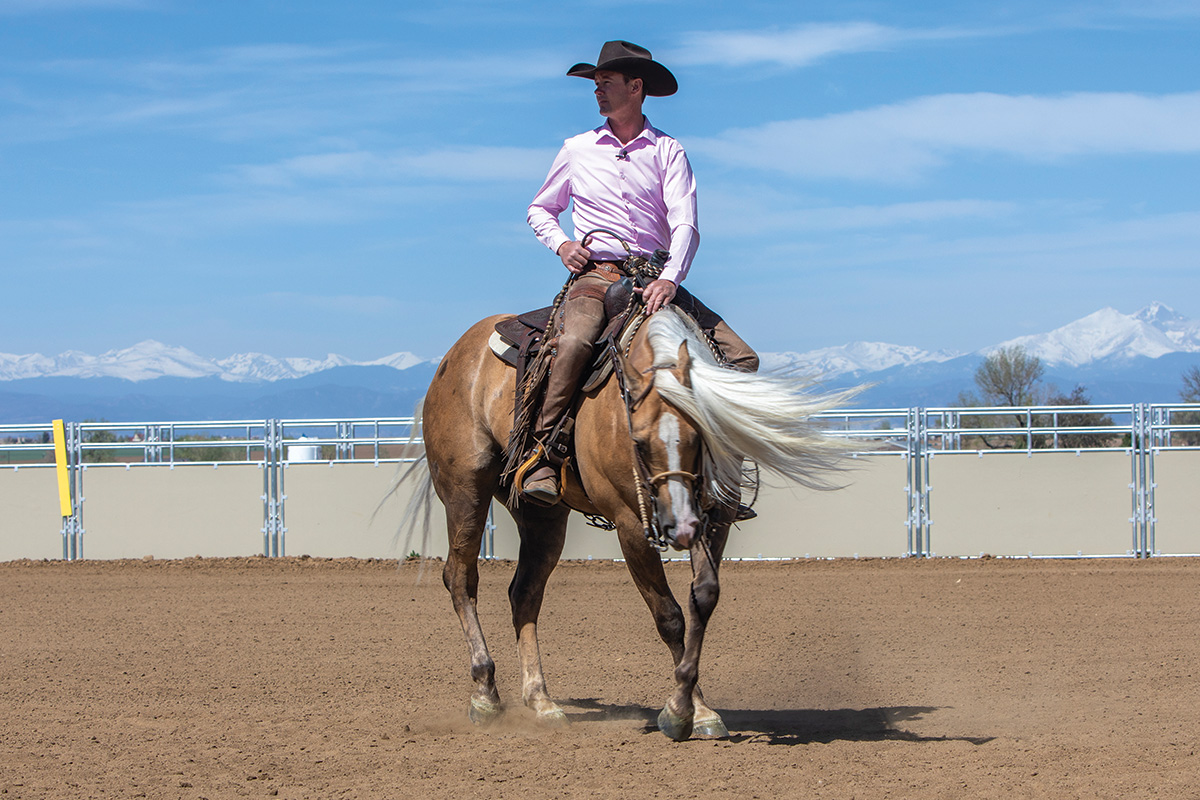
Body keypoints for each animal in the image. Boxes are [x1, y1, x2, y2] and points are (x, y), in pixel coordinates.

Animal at [403, 303, 854, 743]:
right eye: (638, 440)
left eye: (700, 436)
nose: (678, 528)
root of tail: (456, 355)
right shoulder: (631, 525)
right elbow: (669, 616)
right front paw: (684, 712)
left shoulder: (714, 516)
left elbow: (704, 597)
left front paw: (699, 709)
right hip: (465, 490)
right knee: (461, 578)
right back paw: (485, 694)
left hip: (543, 516)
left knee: (524, 593)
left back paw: (542, 701)